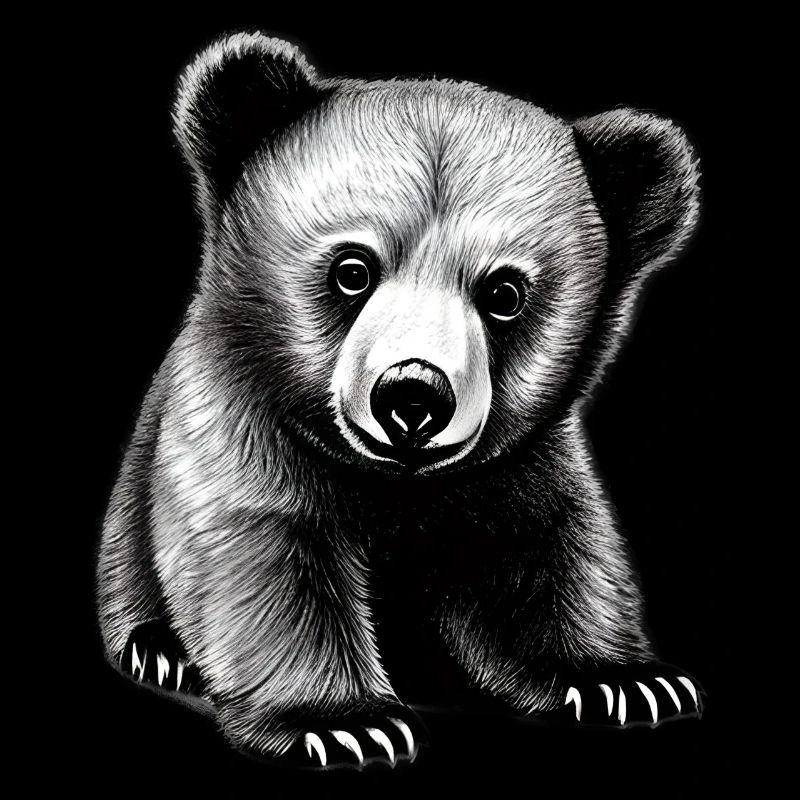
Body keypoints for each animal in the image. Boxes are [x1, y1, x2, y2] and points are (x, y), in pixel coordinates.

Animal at [96, 31, 704, 769]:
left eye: (504, 293)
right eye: (352, 270)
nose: (413, 396)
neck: (399, 485)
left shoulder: (518, 469)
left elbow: (548, 553)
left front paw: (624, 679)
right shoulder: (243, 423)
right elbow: (267, 556)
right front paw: (343, 723)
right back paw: (160, 650)